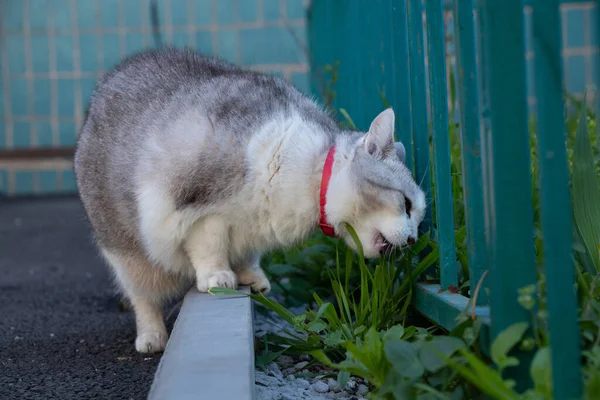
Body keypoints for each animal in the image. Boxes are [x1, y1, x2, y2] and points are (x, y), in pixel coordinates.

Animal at [72, 47, 424, 354]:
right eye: (406, 203)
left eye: (418, 218)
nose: (413, 239)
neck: (311, 175)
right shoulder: (200, 210)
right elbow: (209, 243)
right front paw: (217, 276)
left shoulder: (254, 224)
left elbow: (246, 253)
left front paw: (250, 277)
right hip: (127, 256)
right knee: (143, 299)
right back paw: (151, 338)